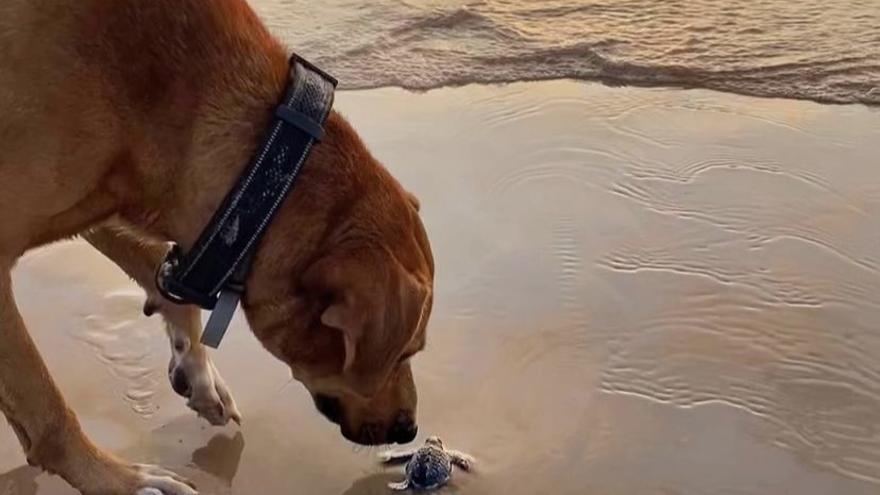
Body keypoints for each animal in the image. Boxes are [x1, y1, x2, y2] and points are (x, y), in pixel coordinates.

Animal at [0, 0, 434, 495]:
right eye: (405, 353)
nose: (409, 429)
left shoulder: (109, 204)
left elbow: (161, 274)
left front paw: (200, 376)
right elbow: (47, 409)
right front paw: (121, 480)